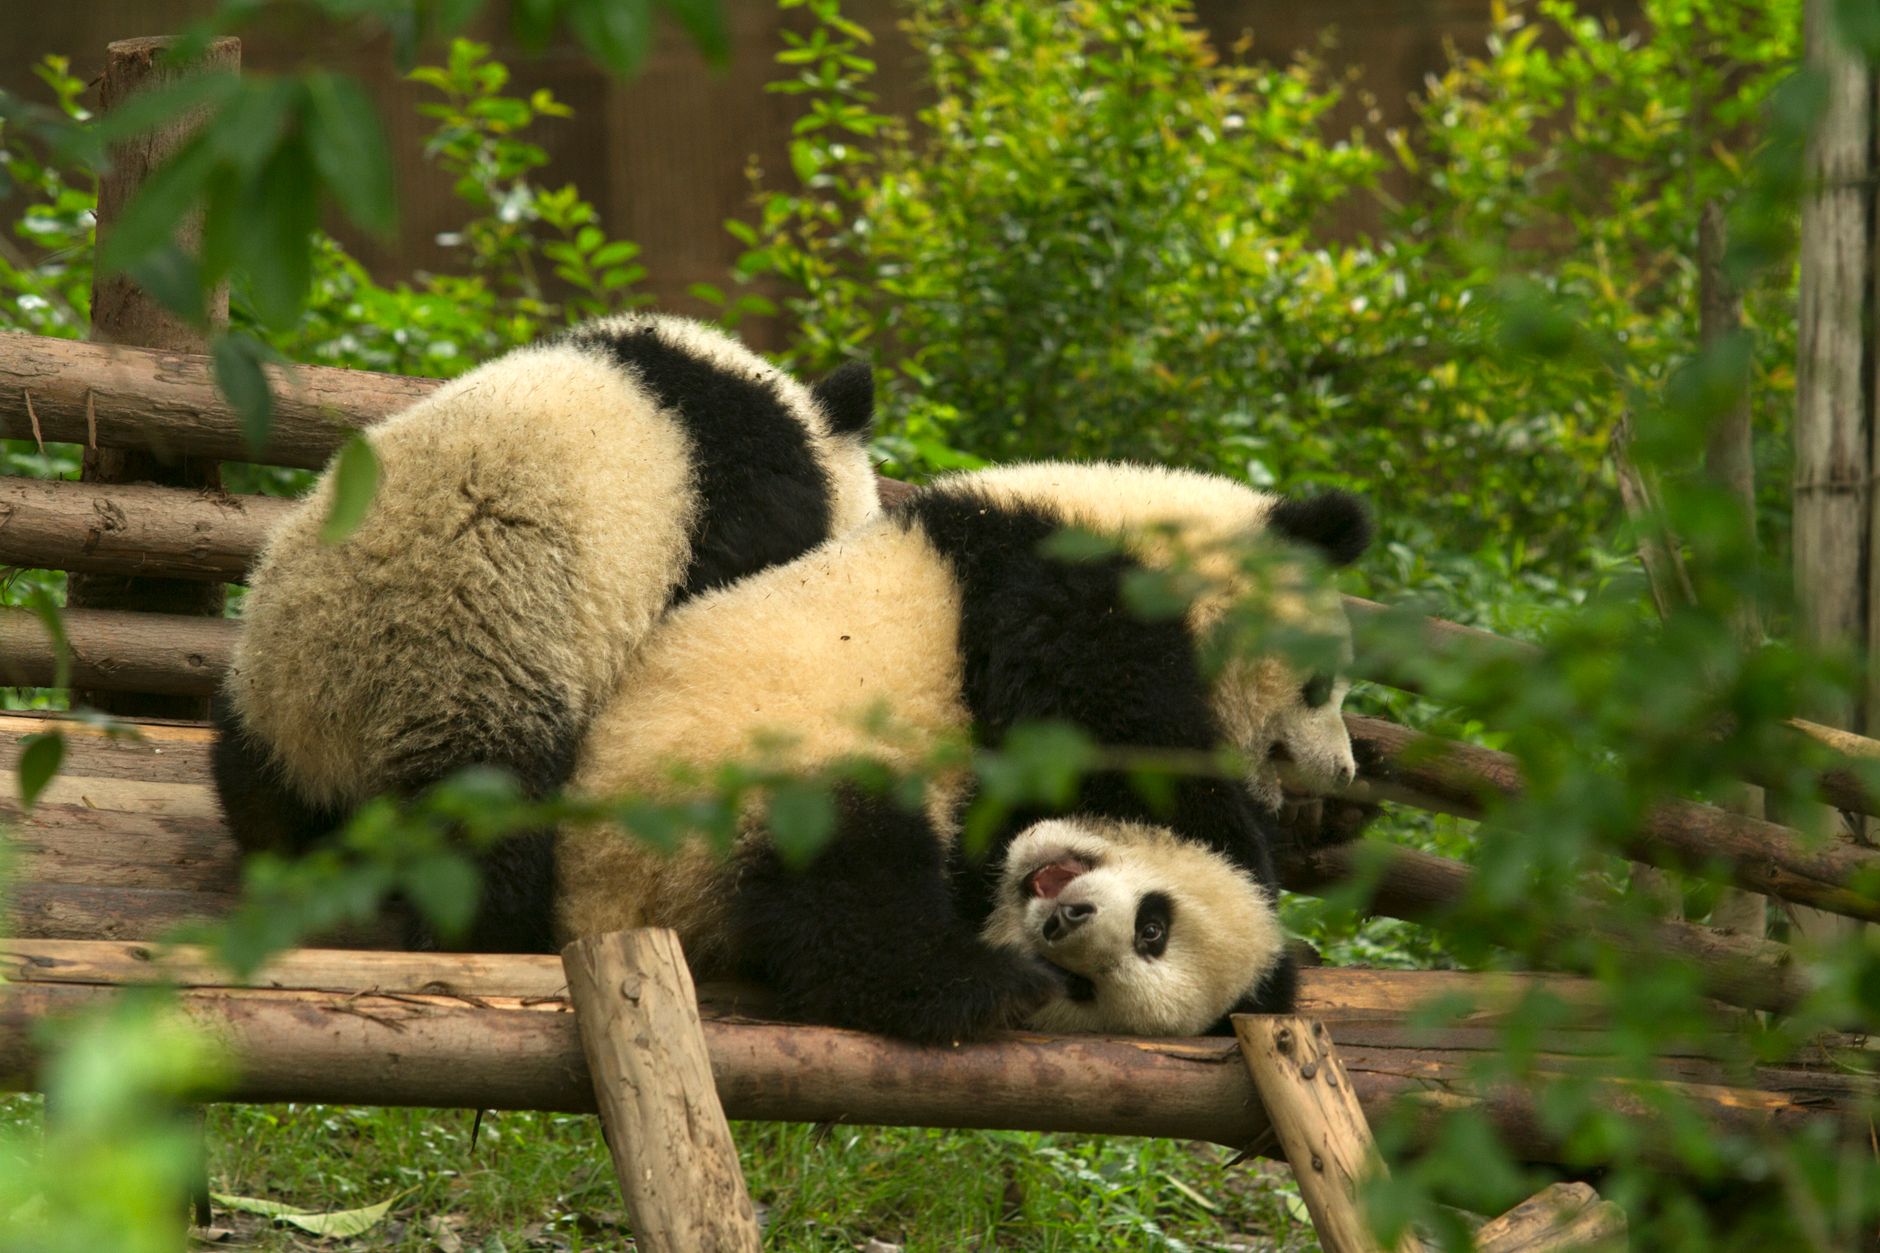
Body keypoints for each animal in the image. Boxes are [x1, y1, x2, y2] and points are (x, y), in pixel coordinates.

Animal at [212, 313, 880, 952]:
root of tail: (326, 726)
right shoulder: (748, 503)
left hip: (262, 683)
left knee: (255, 792)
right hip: (466, 670)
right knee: (490, 825)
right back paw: (484, 935)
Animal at [556, 460, 1370, 1042]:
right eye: (1317, 685)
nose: (1343, 770)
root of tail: (596, 901)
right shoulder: (1062, 592)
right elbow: (1109, 737)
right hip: (728, 784)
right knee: (847, 878)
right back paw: (970, 984)